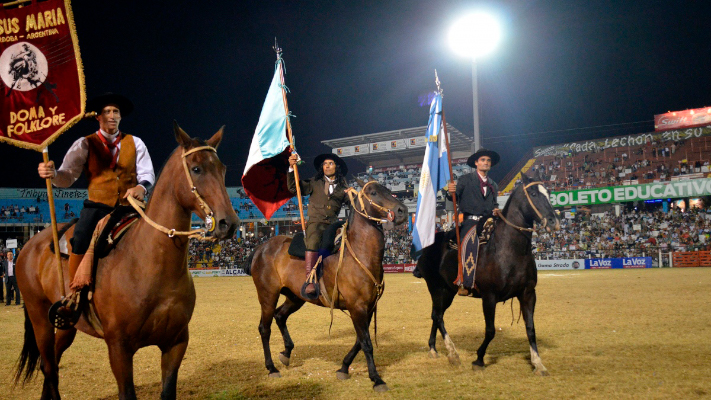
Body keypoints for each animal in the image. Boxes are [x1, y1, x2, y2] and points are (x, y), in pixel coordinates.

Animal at [13, 122, 239, 400]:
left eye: (222, 169)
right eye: (196, 168)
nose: (229, 223)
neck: (146, 263)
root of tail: (29, 245)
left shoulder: (175, 343)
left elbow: (168, 391)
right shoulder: (119, 349)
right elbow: (127, 392)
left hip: (67, 324)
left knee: (53, 363)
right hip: (39, 318)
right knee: (47, 365)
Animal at [248, 180, 408, 392]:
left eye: (389, 190)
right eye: (373, 192)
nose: (402, 211)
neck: (360, 254)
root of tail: (261, 247)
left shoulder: (369, 307)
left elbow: (359, 341)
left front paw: (344, 367)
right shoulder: (357, 307)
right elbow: (366, 343)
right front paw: (376, 379)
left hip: (295, 297)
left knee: (280, 316)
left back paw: (286, 353)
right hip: (268, 295)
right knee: (264, 328)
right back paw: (271, 367)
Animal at [418, 174, 560, 376]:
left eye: (548, 193)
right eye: (533, 193)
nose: (554, 221)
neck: (508, 249)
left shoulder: (528, 294)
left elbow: (530, 328)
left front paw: (538, 363)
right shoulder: (489, 296)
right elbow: (491, 330)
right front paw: (478, 359)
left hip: (448, 291)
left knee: (436, 315)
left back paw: (433, 348)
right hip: (436, 288)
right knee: (438, 316)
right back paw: (453, 353)